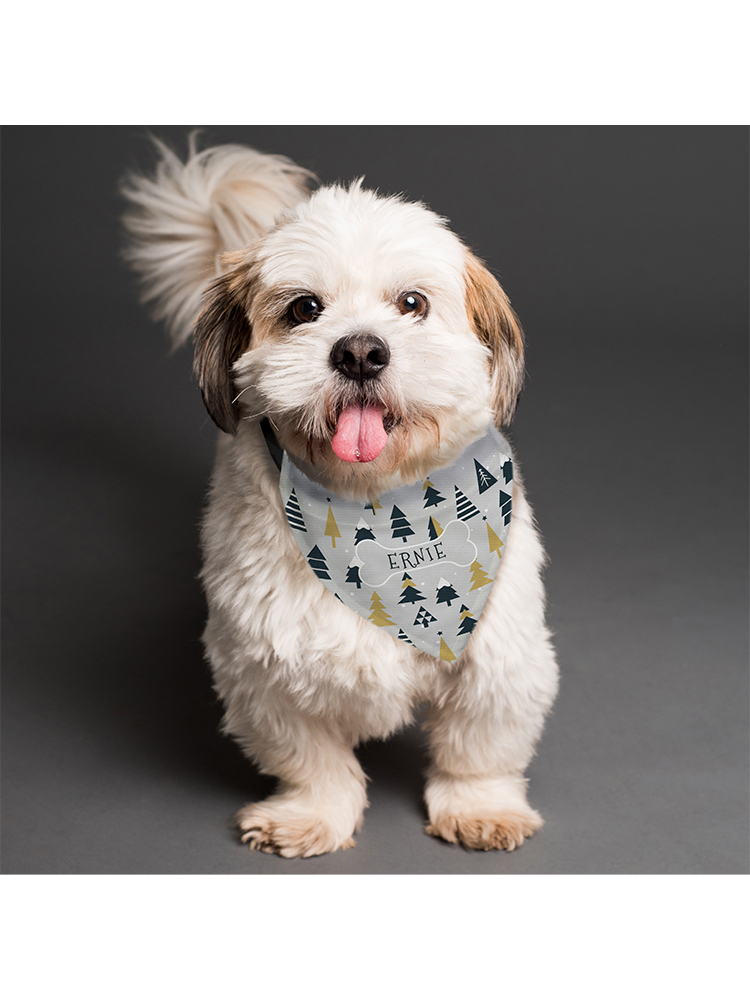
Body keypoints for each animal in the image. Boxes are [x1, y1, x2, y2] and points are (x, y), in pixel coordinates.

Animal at [122, 135, 560, 860]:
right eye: (304, 309)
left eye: (412, 303)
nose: (359, 351)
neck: (376, 502)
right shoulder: (262, 668)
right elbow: (311, 758)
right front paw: (311, 814)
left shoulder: (498, 653)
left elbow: (478, 746)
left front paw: (480, 806)